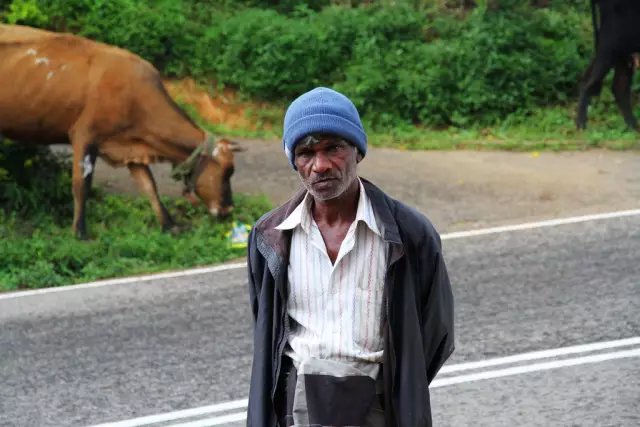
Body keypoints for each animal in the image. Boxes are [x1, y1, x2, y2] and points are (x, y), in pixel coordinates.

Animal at [1, 24, 241, 241]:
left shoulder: (133, 145)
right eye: (227, 171)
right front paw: (80, 232)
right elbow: (81, 185)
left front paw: (169, 225)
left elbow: (149, 186)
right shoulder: (84, 134)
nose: (228, 210)